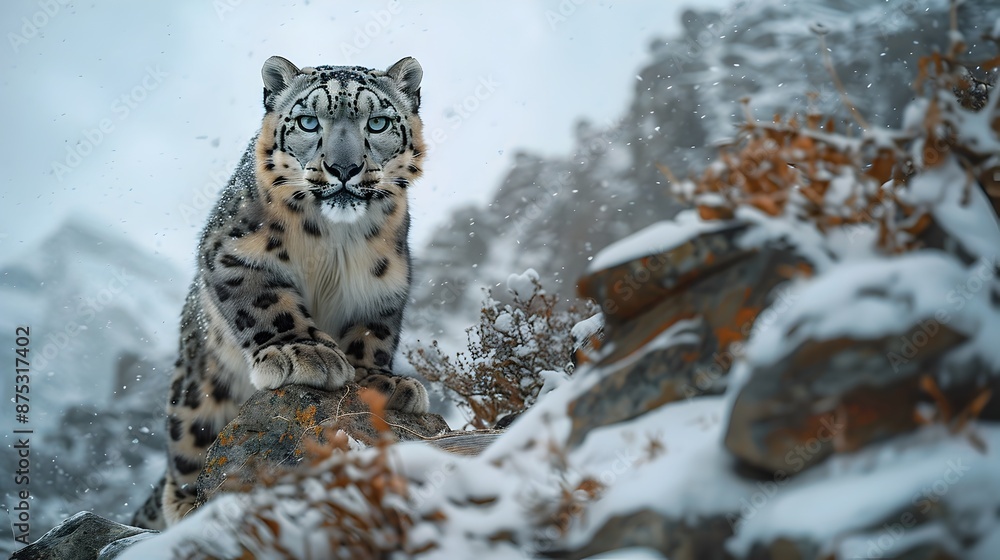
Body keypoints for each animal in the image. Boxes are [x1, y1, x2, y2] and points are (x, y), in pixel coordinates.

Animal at [133, 55, 430, 529]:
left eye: (378, 122)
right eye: (309, 121)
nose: (343, 168)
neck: (336, 242)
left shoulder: (385, 279)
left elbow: (373, 332)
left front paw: (381, 381)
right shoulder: (232, 251)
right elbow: (266, 302)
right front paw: (305, 352)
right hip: (198, 388)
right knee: (187, 444)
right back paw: (185, 504)